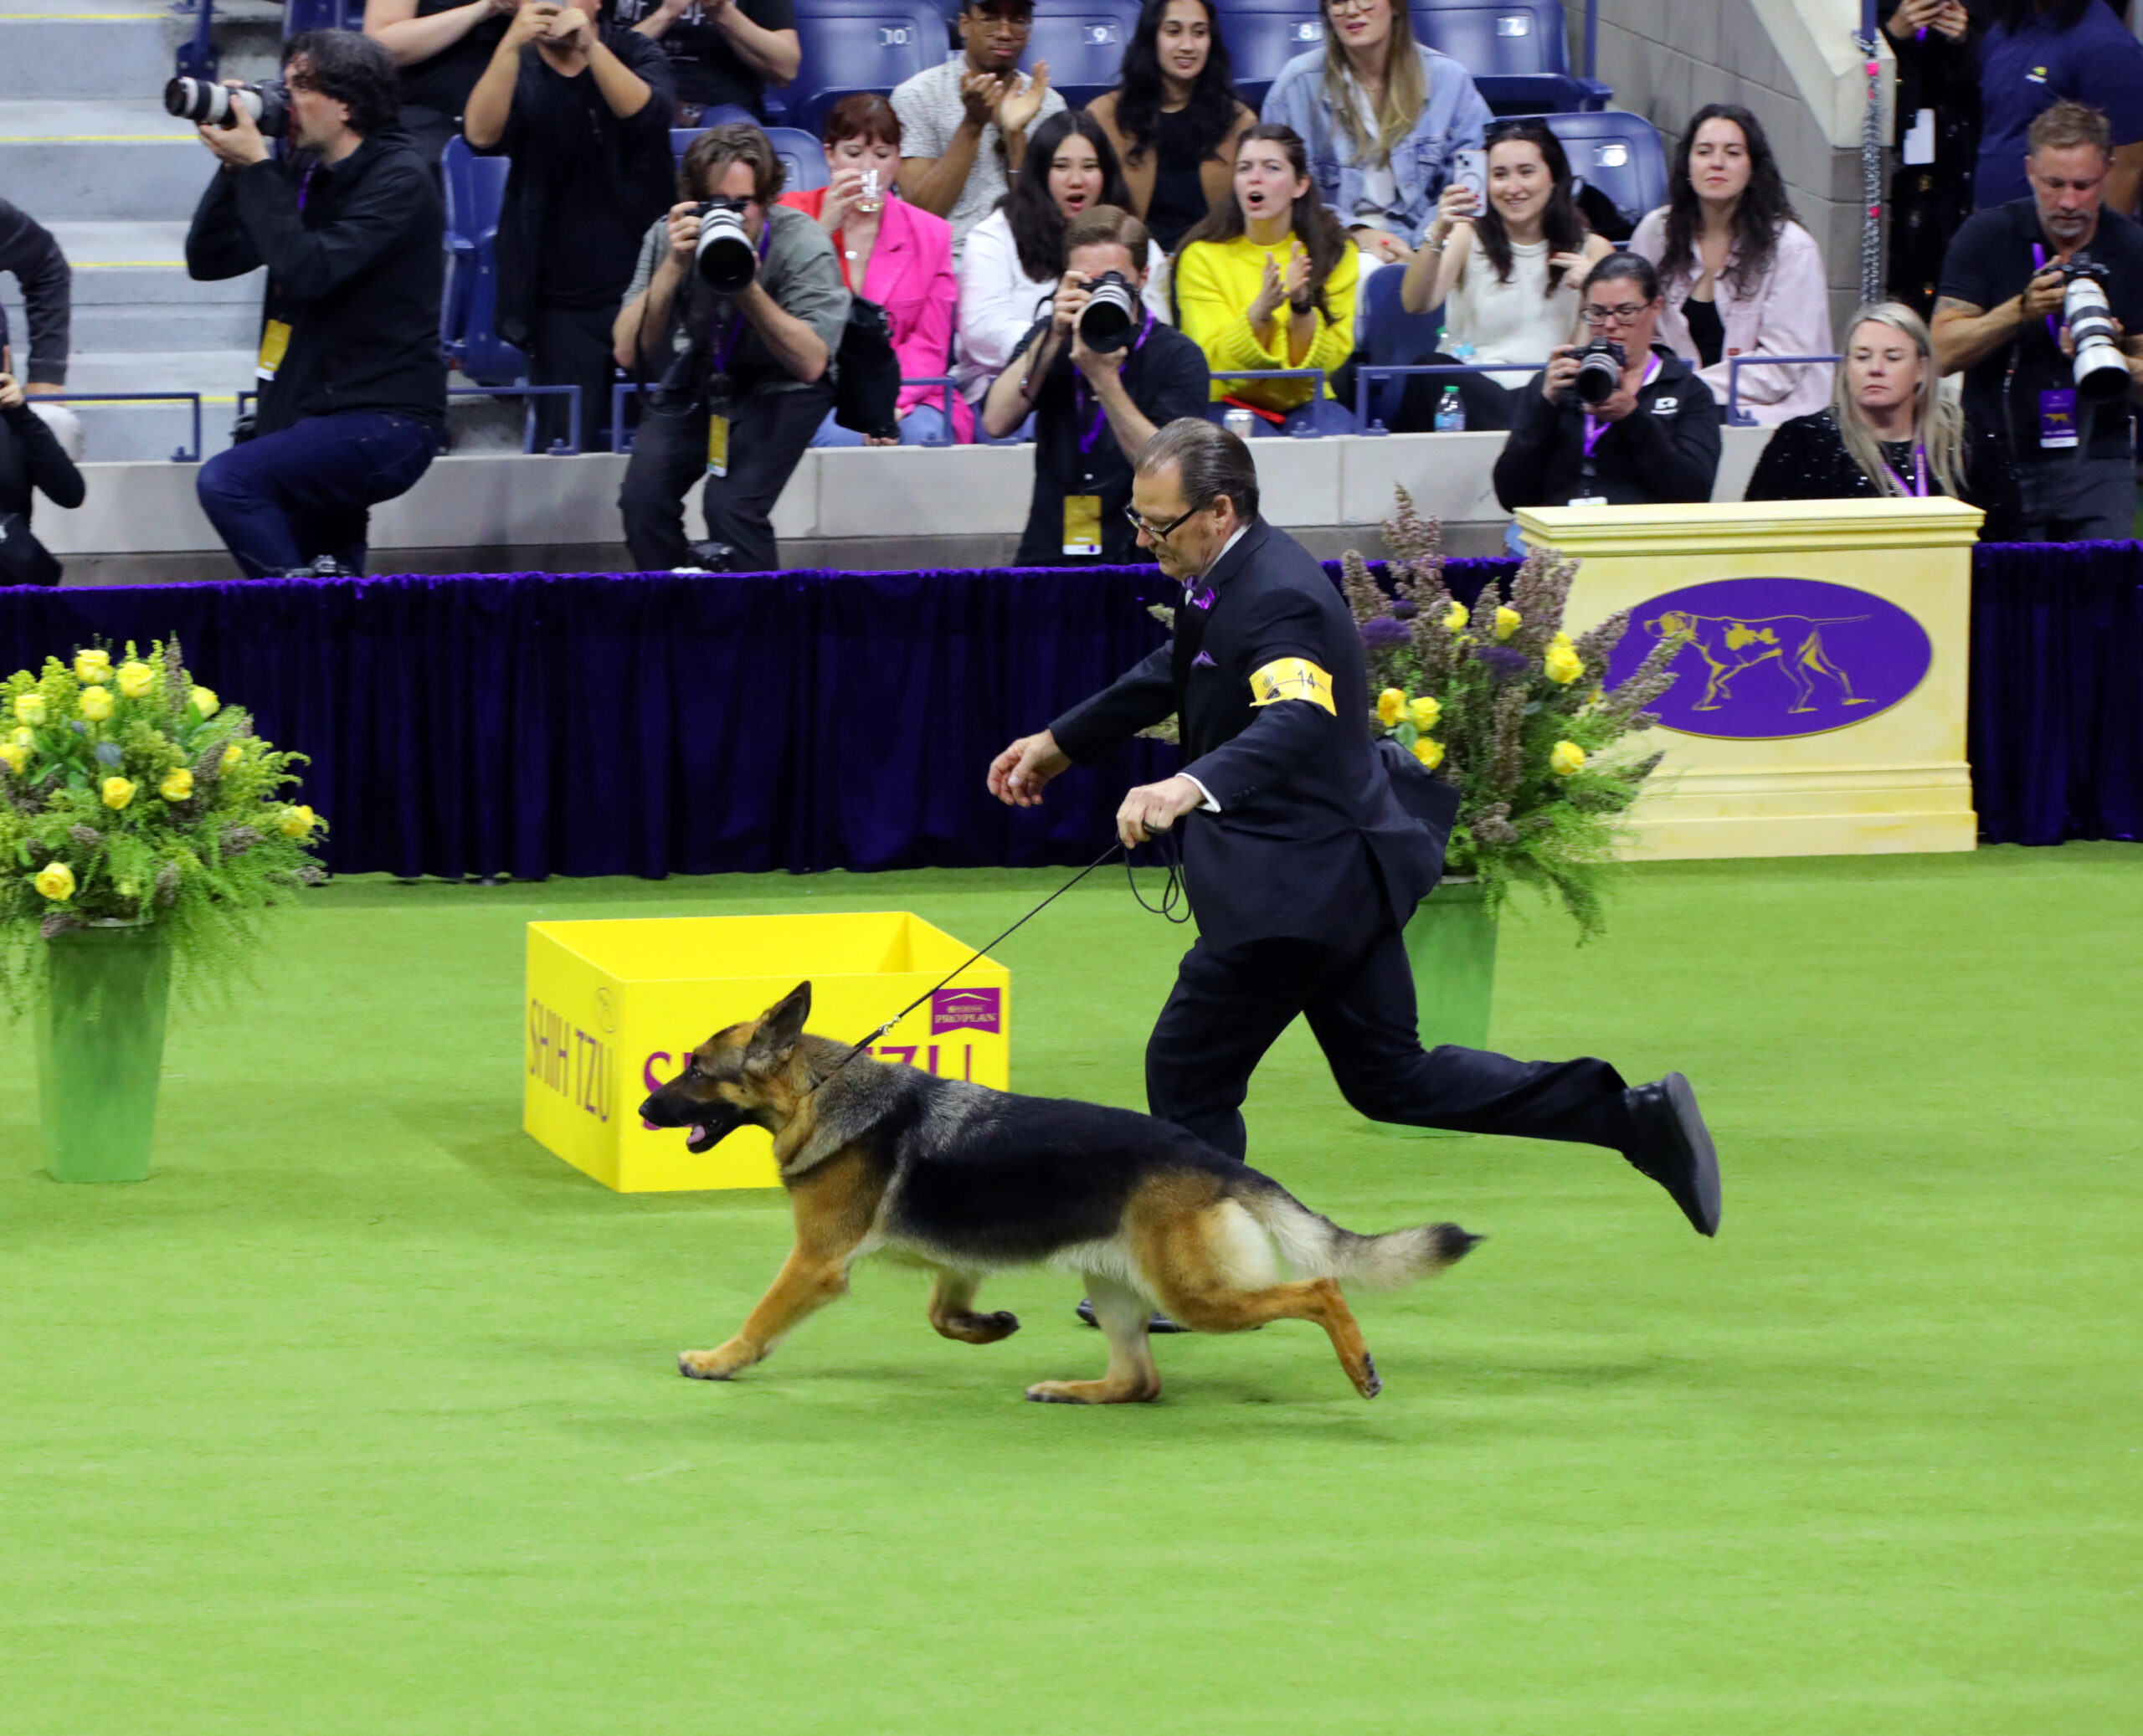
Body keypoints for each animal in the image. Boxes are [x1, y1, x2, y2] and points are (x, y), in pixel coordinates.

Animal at [634, 981, 1474, 1397]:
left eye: (697, 1072)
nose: (642, 1110)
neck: (824, 1093)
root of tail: (1211, 1157)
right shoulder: (957, 1261)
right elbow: (942, 1315)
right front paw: (988, 1327)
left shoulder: (814, 1264)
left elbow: (762, 1317)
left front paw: (720, 1361)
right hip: (1114, 1285)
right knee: (1139, 1382)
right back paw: (1072, 1389)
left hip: (1193, 1295)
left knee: (1321, 1289)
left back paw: (1358, 1365)